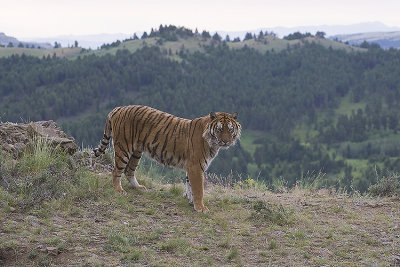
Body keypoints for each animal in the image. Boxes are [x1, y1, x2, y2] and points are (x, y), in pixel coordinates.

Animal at [92, 105, 242, 213]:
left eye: (230, 129)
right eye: (219, 129)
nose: (226, 142)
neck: (212, 143)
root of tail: (118, 108)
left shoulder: (191, 167)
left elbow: (189, 185)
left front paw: (191, 201)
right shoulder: (195, 166)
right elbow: (199, 189)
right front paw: (201, 208)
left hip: (136, 152)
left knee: (129, 171)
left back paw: (139, 187)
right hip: (123, 147)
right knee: (116, 171)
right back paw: (119, 190)